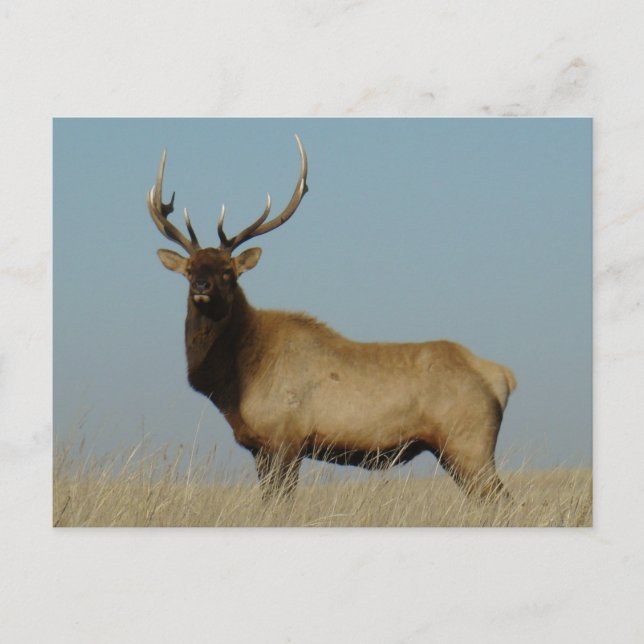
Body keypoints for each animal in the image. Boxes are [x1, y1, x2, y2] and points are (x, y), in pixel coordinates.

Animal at [147, 135, 516, 501]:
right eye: (190, 269)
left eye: (227, 271)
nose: (201, 285)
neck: (234, 384)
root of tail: (502, 377)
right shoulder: (259, 447)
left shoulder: (285, 439)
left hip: (469, 444)